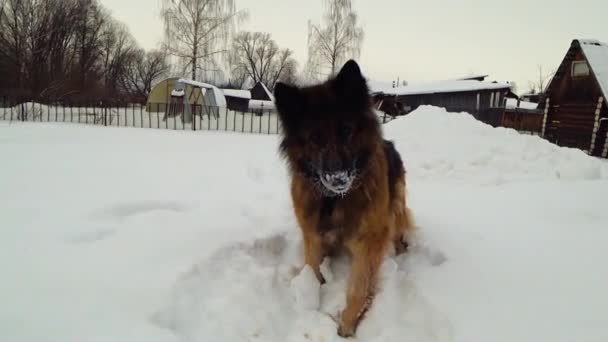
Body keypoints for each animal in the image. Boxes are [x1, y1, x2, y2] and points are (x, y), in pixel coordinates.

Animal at [274, 59, 414, 336]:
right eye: (314, 138)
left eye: (347, 130)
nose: (337, 178)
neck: (334, 200)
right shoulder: (312, 234)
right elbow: (312, 268)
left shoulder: (369, 240)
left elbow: (359, 287)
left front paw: (347, 324)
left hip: (396, 208)